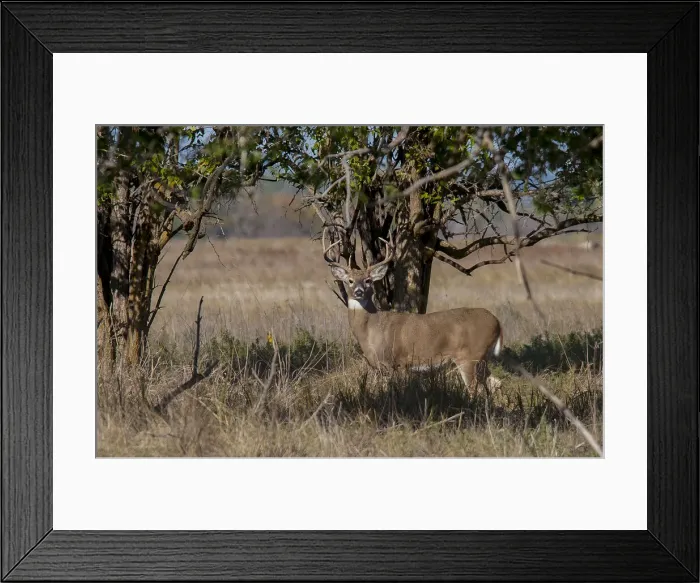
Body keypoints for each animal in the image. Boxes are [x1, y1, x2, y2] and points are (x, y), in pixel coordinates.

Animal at [323, 232, 504, 395]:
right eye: (350, 281)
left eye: (368, 281)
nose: (359, 291)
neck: (371, 329)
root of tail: (497, 322)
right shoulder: (380, 367)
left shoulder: (397, 362)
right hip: (482, 358)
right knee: (495, 383)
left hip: (469, 356)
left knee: (476, 389)